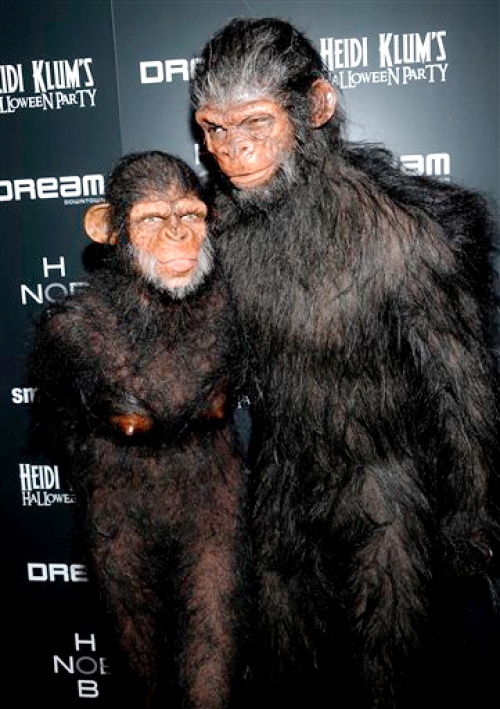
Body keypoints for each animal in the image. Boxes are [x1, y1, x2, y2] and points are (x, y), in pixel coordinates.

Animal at [27, 151, 250, 709]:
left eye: (189, 214)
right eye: (152, 219)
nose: (178, 235)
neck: (156, 303)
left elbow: (212, 623)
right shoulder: (59, 335)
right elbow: (56, 419)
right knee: (135, 626)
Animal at [191, 17, 500, 708]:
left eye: (256, 122)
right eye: (215, 127)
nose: (234, 154)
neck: (299, 201)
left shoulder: (431, 252)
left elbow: (457, 375)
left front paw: (469, 529)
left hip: (384, 508)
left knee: (387, 614)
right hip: (279, 512)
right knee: (284, 604)